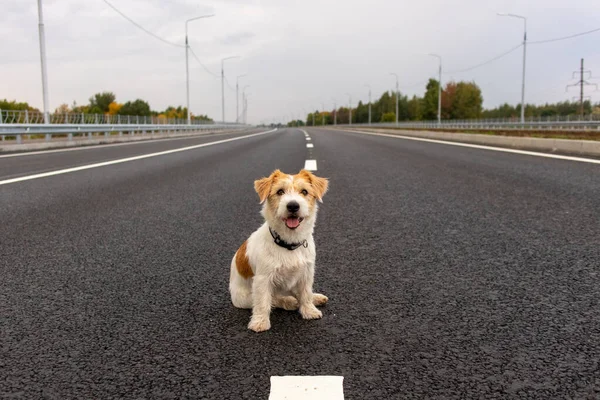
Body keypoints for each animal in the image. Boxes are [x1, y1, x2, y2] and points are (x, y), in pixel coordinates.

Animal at [230, 169, 330, 332]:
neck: (289, 244)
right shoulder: (263, 279)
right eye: (280, 191)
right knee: (274, 299)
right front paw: (260, 322)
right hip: (245, 298)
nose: (293, 206)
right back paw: (289, 301)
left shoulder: (306, 273)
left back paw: (315, 298)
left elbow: (305, 293)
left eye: (304, 191)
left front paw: (309, 310)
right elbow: (263, 303)